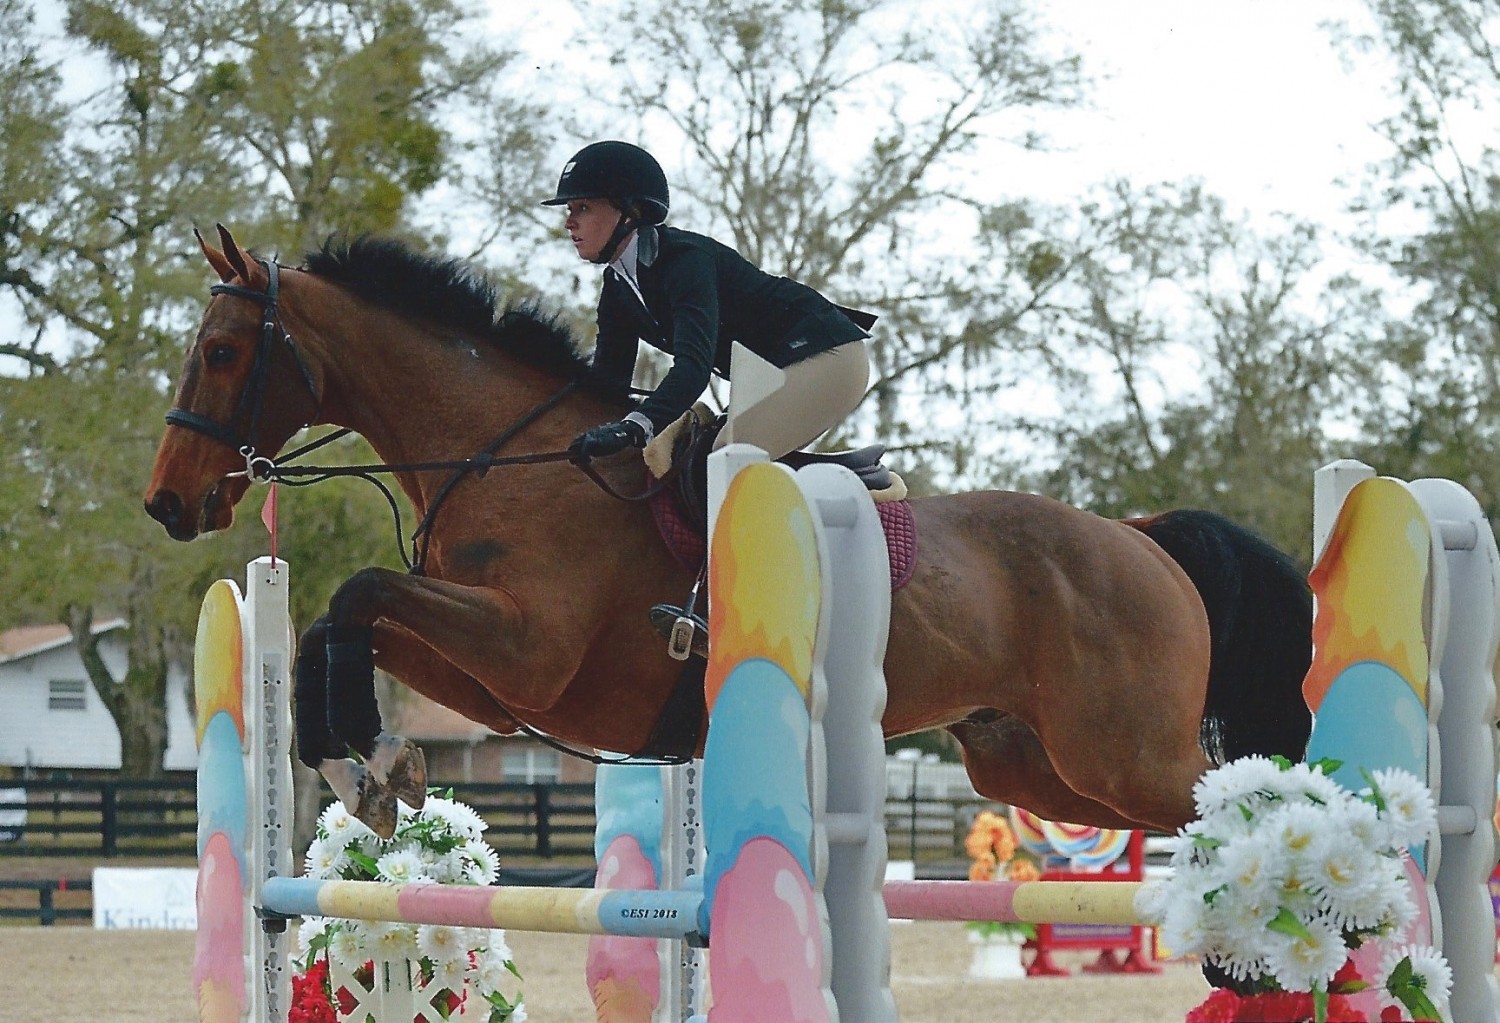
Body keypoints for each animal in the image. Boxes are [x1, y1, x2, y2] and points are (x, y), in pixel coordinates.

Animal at [143, 226, 1314, 834]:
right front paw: (368, 770)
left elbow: (358, 593)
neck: (506, 458)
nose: (167, 503)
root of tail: (1142, 539)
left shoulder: (529, 654)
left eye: (223, 353)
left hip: (1123, 751)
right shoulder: (498, 678)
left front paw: (373, 763)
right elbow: (338, 624)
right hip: (1033, 768)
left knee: (1243, 799)